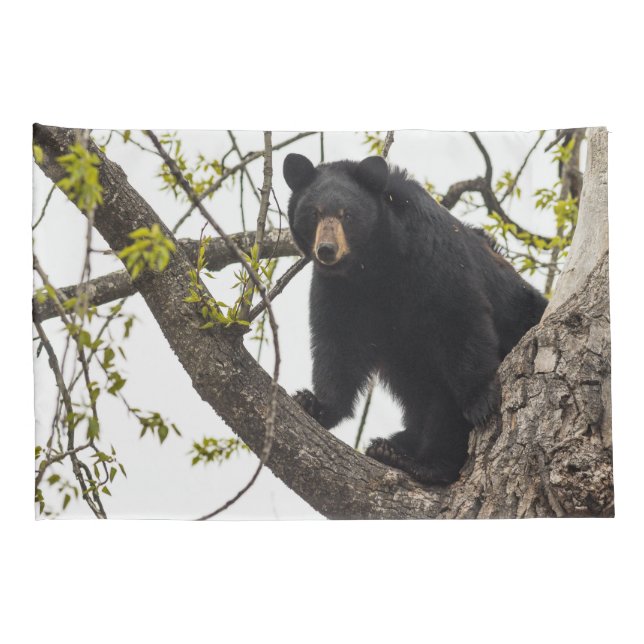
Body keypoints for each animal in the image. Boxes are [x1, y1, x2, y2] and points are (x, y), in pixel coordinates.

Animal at [283, 153, 547, 485]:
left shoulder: (431, 256)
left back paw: (420, 461)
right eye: (314, 213)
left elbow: (459, 319)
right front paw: (315, 403)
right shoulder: (338, 290)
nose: (327, 250)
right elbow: (338, 344)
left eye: (347, 215)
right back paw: (393, 447)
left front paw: (480, 400)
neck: (373, 265)